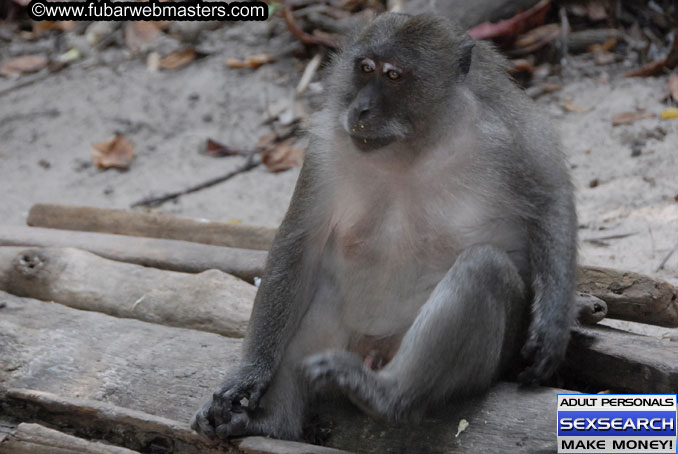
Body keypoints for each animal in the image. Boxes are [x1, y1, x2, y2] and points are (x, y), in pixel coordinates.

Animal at [191, 13, 580, 440]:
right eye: (365, 68)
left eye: (393, 75)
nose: (361, 108)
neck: (412, 146)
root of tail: (375, 356)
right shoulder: (326, 147)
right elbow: (299, 245)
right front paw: (250, 375)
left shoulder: (504, 134)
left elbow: (550, 197)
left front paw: (551, 327)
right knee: (320, 291)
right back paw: (275, 422)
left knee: (485, 268)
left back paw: (387, 396)